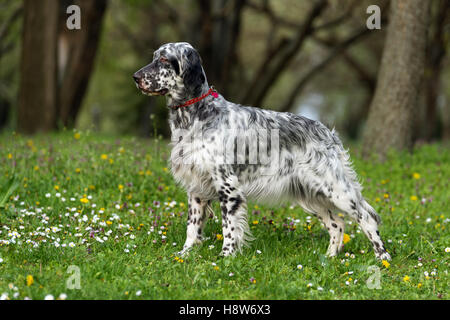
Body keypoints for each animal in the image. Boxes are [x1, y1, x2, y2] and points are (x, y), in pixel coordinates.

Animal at [133, 42, 390, 262]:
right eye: (154, 57)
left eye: (164, 59)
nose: (135, 77)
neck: (197, 116)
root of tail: (327, 131)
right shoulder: (196, 188)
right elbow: (192, 227)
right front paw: (185, 254)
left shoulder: (228, 188)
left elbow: (229, 228)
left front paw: (226, 257)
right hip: (310, 195)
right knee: (337, 224)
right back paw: (330, 257)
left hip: (336, 190)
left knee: (367, 218)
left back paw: (383, 257)